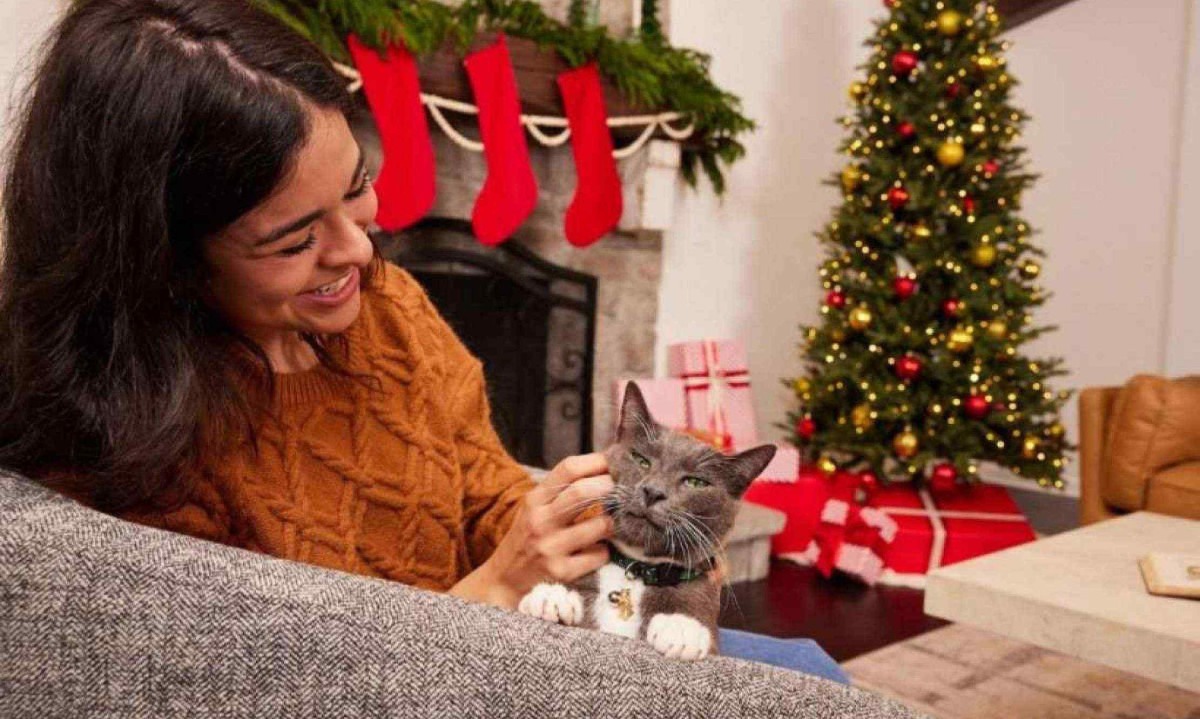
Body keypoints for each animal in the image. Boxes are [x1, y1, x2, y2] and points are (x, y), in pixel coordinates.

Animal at [518, 386, 777, 662]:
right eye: (641, 459)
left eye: (696, 482)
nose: (653, 491)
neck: (637, 570)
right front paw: (553, 598)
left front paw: (680, 628)